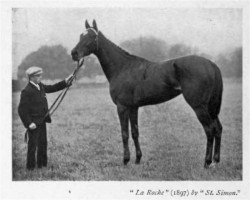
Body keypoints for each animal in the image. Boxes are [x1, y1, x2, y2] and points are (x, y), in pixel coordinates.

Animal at [70, 19, 223, 169]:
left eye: (91, 36)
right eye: (80, 36)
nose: (74, 53)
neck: (123, 68)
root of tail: (211, 64)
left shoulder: (122, 107)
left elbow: (124, 134)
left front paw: (125, 160)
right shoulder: (133, 107)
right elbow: (135, 132)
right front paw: (137, 159)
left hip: (199, 106)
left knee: (209, 130)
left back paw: (207, 162)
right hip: (210, 107)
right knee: (218, 128)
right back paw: (215, 161)